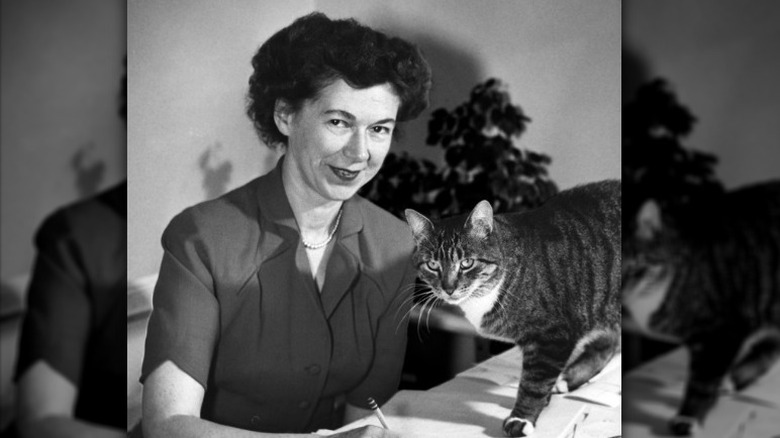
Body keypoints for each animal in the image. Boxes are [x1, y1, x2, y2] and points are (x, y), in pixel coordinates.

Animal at [406, 180, 620, 436]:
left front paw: (522, 418)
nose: (448, 288)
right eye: (432, 265)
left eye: (466, 263)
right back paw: (567, 379)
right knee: (606, 344)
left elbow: (533, 383)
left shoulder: (553, 337)